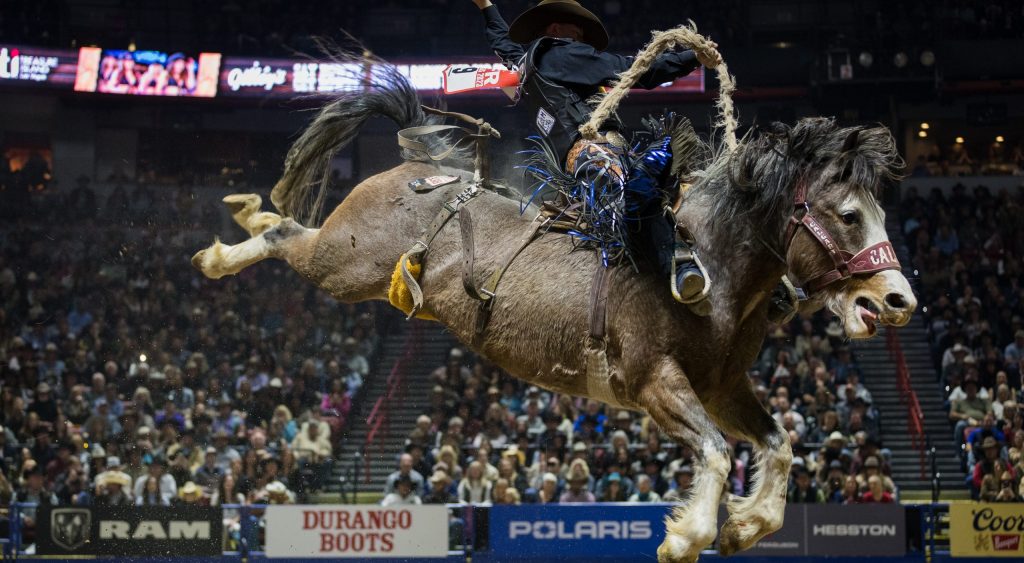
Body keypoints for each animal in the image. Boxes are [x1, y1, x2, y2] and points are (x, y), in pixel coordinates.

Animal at [192, 69, 916, 562]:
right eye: (848, 214)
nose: (897, 299)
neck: (705, 265)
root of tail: (421, 166)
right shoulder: (656, 382)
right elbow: (714, 448)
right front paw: (688, 534)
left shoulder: (724, 387)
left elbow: (778, 443)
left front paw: (741, 525)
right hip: (344, 265)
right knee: (289, 234)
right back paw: (224, 246)